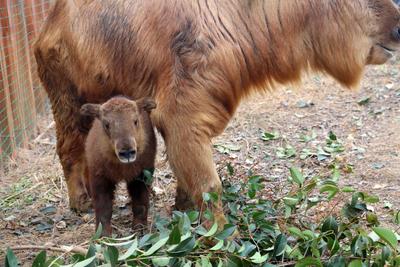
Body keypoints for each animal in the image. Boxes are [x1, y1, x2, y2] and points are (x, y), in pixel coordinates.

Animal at [80, 97, 157, 237]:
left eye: (135, 120)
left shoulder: (141, 176)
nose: (127, 152)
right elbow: (103, 209)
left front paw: (140, 229)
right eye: (106, 124)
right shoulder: (100, 179)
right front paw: (103, 235)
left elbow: (141, 204)